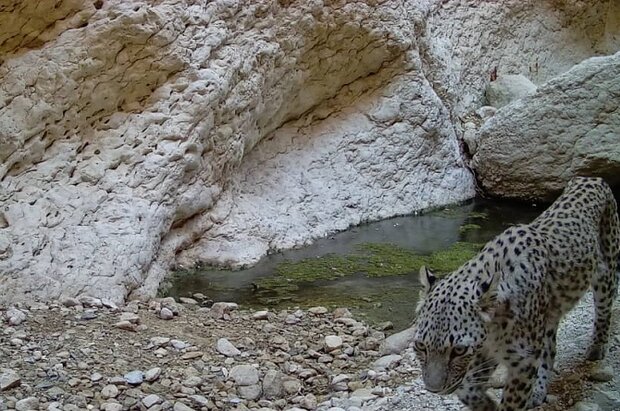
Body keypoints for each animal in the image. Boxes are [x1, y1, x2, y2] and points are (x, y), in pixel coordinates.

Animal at [412, 178, 620, 411]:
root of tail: (590, 178)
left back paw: (596, 349)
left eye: (458, 350)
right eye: (420, 346)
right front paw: (487, 405)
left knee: (603, 310)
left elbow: (511, 400)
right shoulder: (486, 352)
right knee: (549, 351)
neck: (493, 330)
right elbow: (468, 389)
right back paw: (539, 391)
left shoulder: (523, 360)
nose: (433, 390)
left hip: (605, 271)